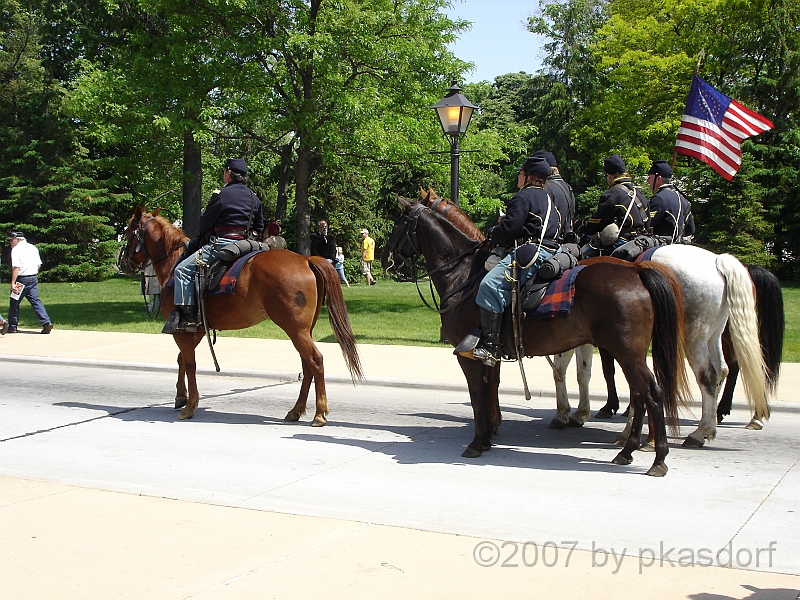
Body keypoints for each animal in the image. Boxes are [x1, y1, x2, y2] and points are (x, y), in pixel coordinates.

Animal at [118, 207, 363, 425]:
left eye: (129, 231)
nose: (122, 262)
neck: (174, 263)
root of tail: (306, 260)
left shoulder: (182, 329)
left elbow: (190, 363)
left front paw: (190, 406)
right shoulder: (195, 329)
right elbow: (181, 360)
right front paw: (181, 396)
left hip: (295, 330)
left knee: (315, 361)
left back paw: (319, 414)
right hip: (303, 330)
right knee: (307, 365)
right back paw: (296, 411)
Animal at [383, 196, 690, 476]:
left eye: (398, 223)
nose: (386, 258)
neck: (464, 276)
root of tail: (637, 271)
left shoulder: (468, 356)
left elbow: (477, 395)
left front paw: (477, 443)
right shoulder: (489, 355)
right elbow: (489, 391)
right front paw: (488, 436)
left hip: (627, 353)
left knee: (652, 394)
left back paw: (657, 458)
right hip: (629, 354)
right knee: (640, 395)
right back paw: (627, 451)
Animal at [550, 245, 771, 447]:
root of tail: (718, 261)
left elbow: (573, 372)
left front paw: (570, 412)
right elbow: (579, 372)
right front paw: (576, 412)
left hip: (694, 337)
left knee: (708, 375)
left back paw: (697, 432)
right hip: (714, 335)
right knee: (723, 370)